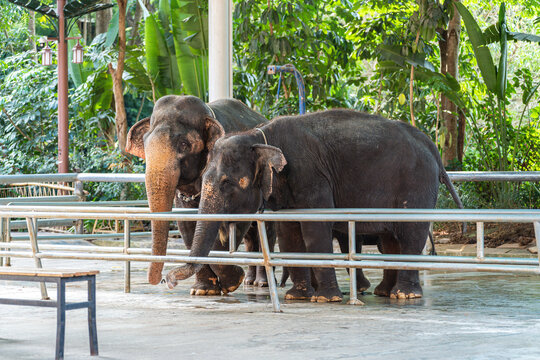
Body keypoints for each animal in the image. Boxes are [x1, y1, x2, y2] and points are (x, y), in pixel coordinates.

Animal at [126, 95, 270, 296]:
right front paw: (203, 290)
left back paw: (261, 283)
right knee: (251, 236)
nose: (162, 280)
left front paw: (231, 282)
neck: (209, 113)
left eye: (184, 144)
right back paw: (249, 281)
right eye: (145, 145)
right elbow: (187, 227)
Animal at [166, 108, 464, 302]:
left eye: (228, 183)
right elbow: (289, 234)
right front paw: (297, 297)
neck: (260, 136)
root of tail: (431, 145)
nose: (167, 280)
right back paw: (385, 293)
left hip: (416, 183)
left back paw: (405, 295)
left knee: (410, 233)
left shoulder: (311, 176)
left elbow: (314, 229)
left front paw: (324, 299)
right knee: (391, 240)